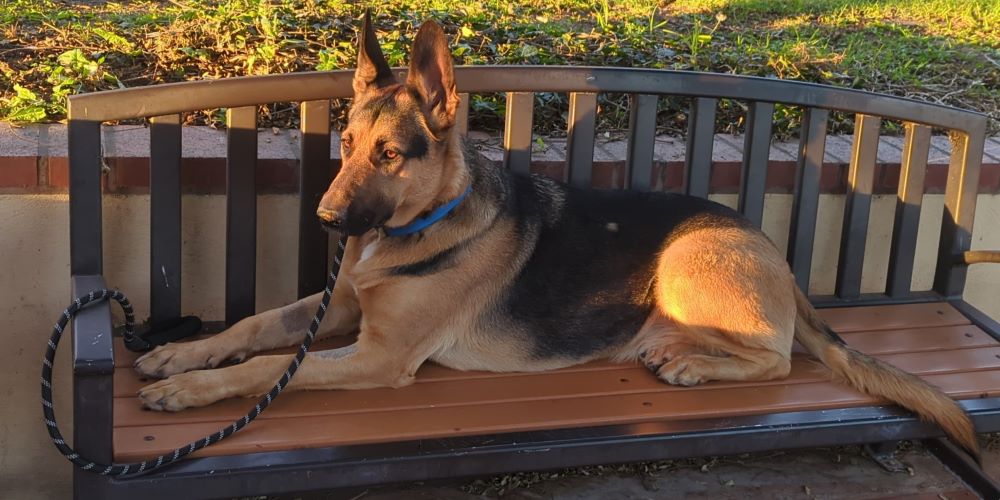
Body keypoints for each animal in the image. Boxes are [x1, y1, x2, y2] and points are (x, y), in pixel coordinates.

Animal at [133, 14, 976, 458]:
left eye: (391, 155)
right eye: (344, 144)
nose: (329, 222)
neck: (426, 224)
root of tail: (772, 248)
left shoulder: (377, 357)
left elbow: (268, 367)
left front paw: (187, 389)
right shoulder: (337, 311)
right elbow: (249, 329)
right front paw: (179, 354)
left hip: (686, 259)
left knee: (776, 356)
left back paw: (693, 366)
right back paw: (674, 351)